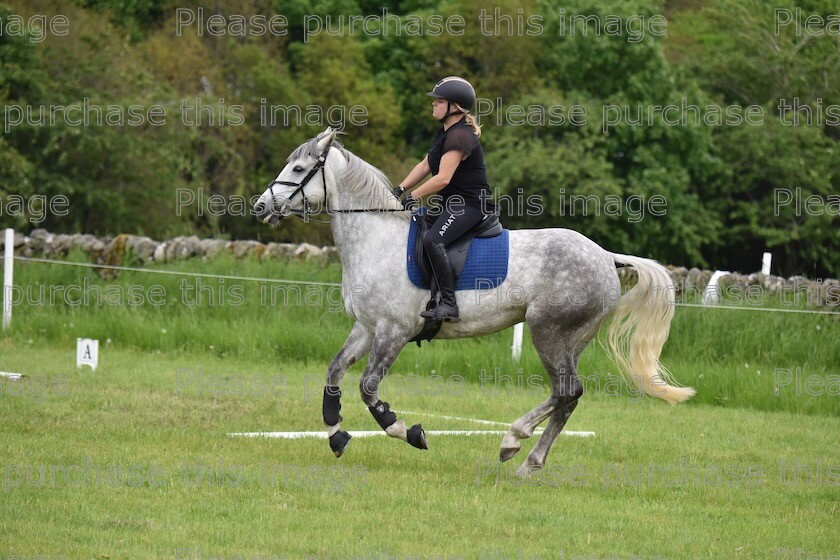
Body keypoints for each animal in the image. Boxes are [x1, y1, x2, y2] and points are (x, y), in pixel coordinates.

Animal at [254, 128, 696, 476]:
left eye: (298, 170)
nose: (260, 206)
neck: (375, 238)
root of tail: (605, 256)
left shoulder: (394, 331)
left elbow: (367, 388)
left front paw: (409, 432)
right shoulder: (366, 328)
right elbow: (333, 374)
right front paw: (336, 436)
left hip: (548, 330)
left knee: (567, 390)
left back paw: (514, 441)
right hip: (571, 338)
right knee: (566, 395)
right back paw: (526, 457)